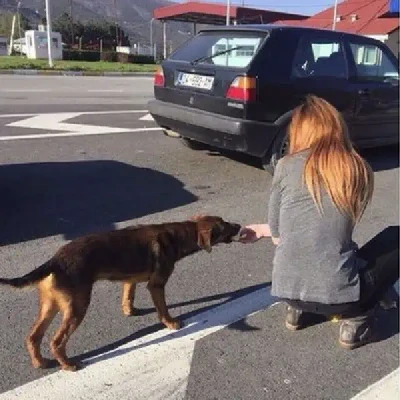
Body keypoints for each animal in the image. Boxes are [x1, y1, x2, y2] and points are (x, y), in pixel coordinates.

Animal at [0, 216, 241, 372]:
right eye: (224, 226)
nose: (239, 225)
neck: (178, 234)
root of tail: (55, 260)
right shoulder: (157, 284)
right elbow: (163, 308)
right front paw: (170, 323)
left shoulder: (130, 279)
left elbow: (128, 295)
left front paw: (129, 310)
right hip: (77, 305)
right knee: (56, 341)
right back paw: (68, 365)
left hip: (50, 304)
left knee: (33, 337)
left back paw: (40, 363)